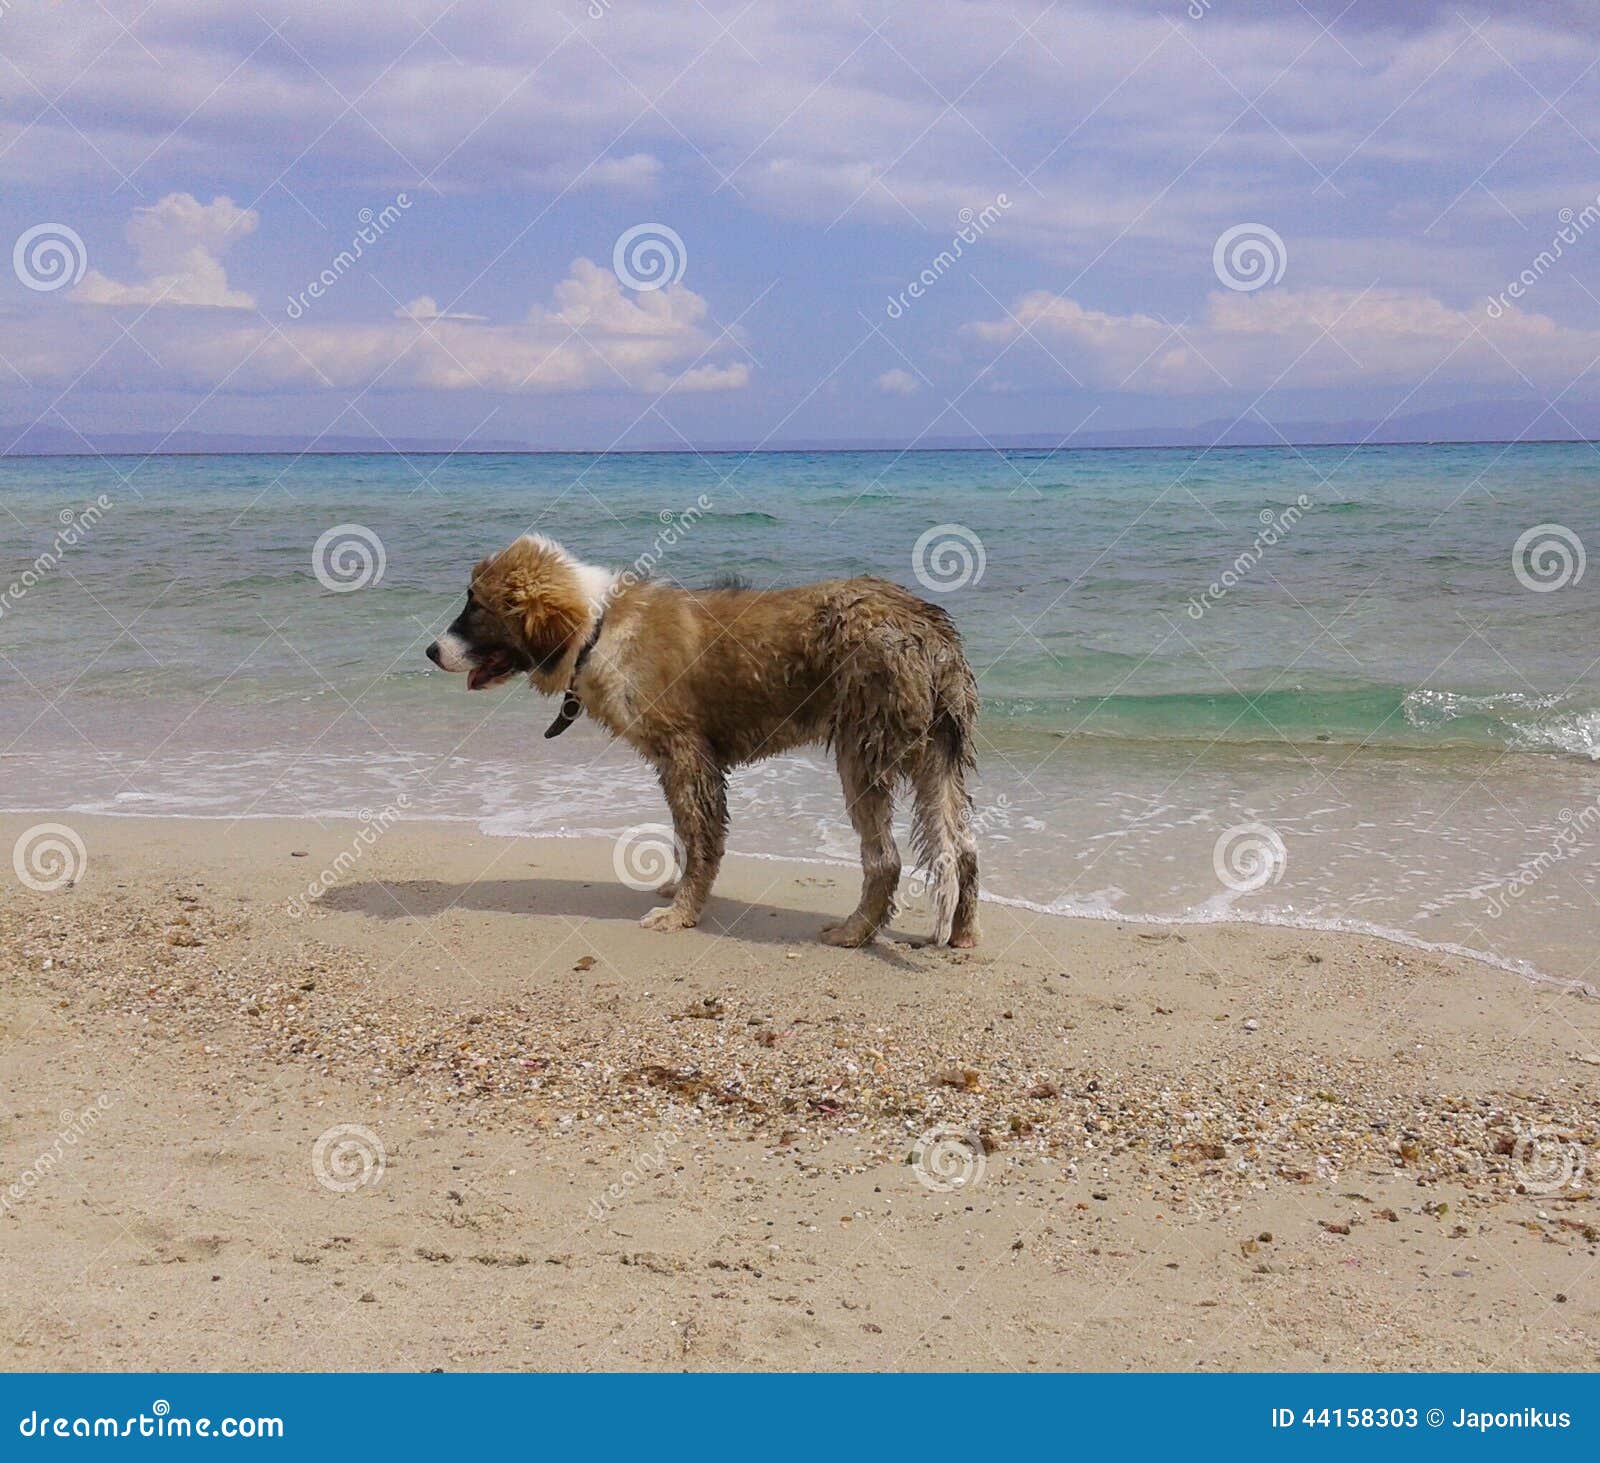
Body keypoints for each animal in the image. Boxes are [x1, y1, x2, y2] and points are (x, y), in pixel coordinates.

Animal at [425, 534, 979, 947]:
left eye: (476, 607)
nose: (431, 651)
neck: (599, 628)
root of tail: (930, 627)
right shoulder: (673, 762)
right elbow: (682, 835)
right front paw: (677, 890)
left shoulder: (686, 755)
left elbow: (700, 838)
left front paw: (682, 912)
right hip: (938, 757)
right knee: (964, 849)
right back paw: (963, 935)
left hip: (862, 751)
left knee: (885, 858)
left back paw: (854, 932)